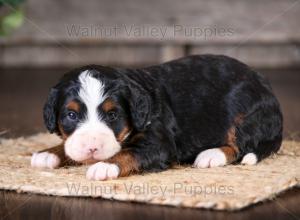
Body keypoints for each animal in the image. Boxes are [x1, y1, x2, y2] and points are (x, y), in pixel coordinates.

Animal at [31, 54, 282, 180]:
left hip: (243, 110)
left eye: (112, 115)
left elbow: (128, 153)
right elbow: (68, 144)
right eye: (71, 114)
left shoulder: (159, 144)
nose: (92, 147)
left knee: (240, 146)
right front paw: (48, 153)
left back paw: (210, 156)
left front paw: (104, 166)